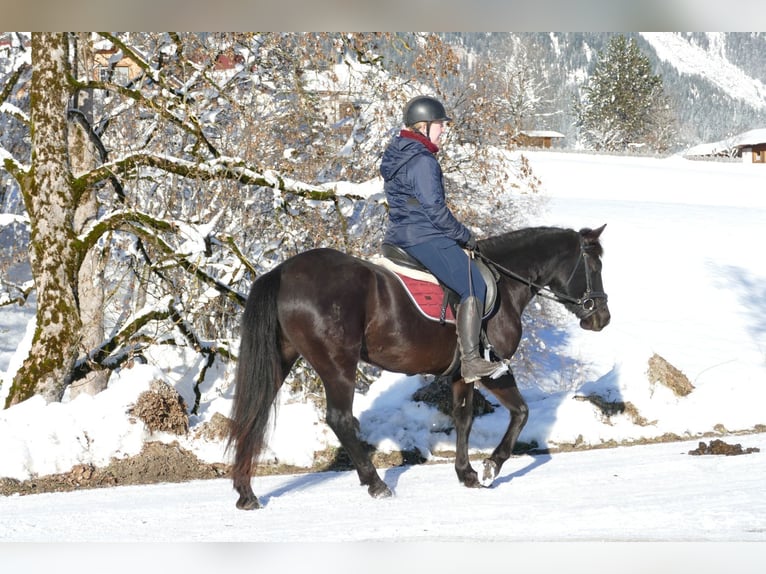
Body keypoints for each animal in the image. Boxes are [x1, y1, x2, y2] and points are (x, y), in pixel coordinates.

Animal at [230, 227, 612, 510]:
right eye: (594, 266)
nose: (602, 318)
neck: (504, 284)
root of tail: (283, 272)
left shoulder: (461, 374)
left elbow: (464, 419)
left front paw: (467, 473)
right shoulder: (493, 368)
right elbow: (520, 412)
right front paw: (491, 467)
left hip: (283, 359)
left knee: (254, 413)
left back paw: (246, 493)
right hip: (338, 366)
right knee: (339, 419)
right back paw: (376, 484)